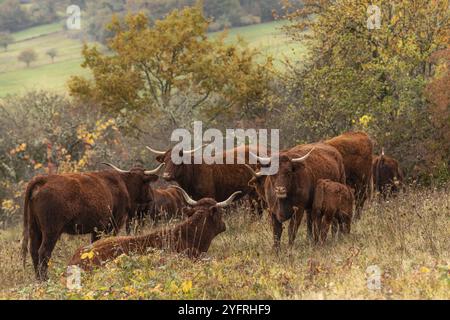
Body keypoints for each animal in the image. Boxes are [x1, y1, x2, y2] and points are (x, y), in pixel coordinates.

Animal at [21, 162, 164, 280]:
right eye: (147, 183)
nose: (151, 198)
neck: (122, 184)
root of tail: (44, 179)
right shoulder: (113, 225)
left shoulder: (97, 229)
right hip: (51, 231)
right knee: (43, 252)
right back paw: (45, 279)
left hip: (35, 228)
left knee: (33, 250)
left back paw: (38, 279)